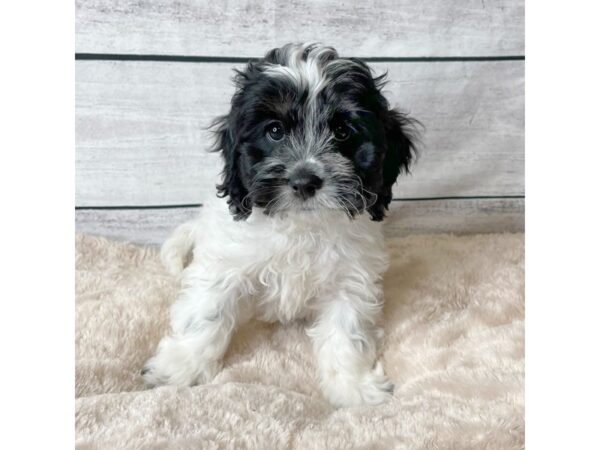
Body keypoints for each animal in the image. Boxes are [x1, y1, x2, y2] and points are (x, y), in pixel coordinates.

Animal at [144, 43, 420, 408]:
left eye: (342, 131)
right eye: (275, 130)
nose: (304, 181)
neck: (301, 225)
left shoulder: (351, 280)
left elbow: (346, 332)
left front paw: (353, 387)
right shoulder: (224, 265)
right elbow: (207, 313)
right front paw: (180, 367)